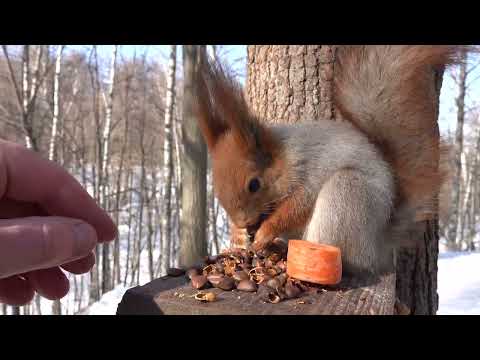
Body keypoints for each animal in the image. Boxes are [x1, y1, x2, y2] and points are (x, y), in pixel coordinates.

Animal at [193, 45, 466, 276]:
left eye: (254, 184)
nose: (244, 221)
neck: (284, 157)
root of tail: (378, 244)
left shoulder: (312, 169)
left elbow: (297, 206)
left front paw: (265, 231)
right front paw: (239, 234)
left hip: (348, 193)